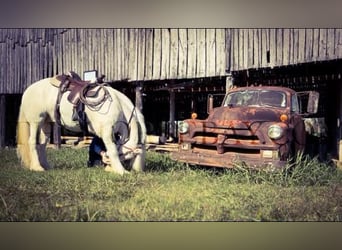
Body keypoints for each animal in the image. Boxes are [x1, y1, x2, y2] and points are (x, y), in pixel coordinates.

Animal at [15, 74, 146, 176]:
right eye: (124, 156)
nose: (107, 165)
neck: (118, 105)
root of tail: (27, 90)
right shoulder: (107, 131)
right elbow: (112, 149)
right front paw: (121, 171)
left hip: (46, 123)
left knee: (42, 143)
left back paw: (46, 166)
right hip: (36, 121)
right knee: (32, 141)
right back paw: (37, 168)